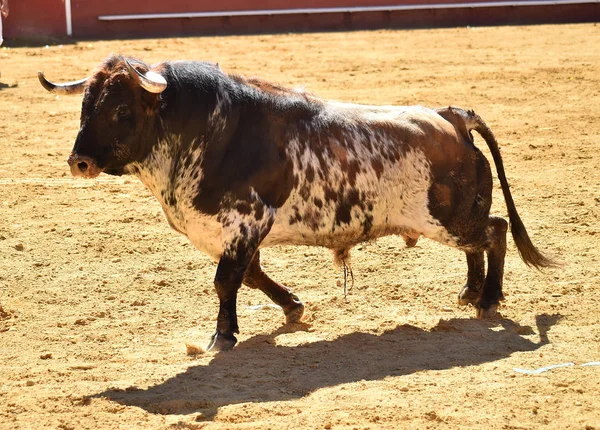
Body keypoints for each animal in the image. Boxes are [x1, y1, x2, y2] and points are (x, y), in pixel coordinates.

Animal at [36, 54, 552, 350]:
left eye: (122, 109)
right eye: (86, 106)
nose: (79, 161)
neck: (203, 130)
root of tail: (452, 117)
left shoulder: (247, 221)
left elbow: (226, 281)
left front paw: (223, 334)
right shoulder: (237, 233)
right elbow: (250, 277)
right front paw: (292, 307)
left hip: (450, 218)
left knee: (495, 232)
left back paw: (488, 299)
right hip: (451, 219)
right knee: (480, 243)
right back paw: (470, 292)